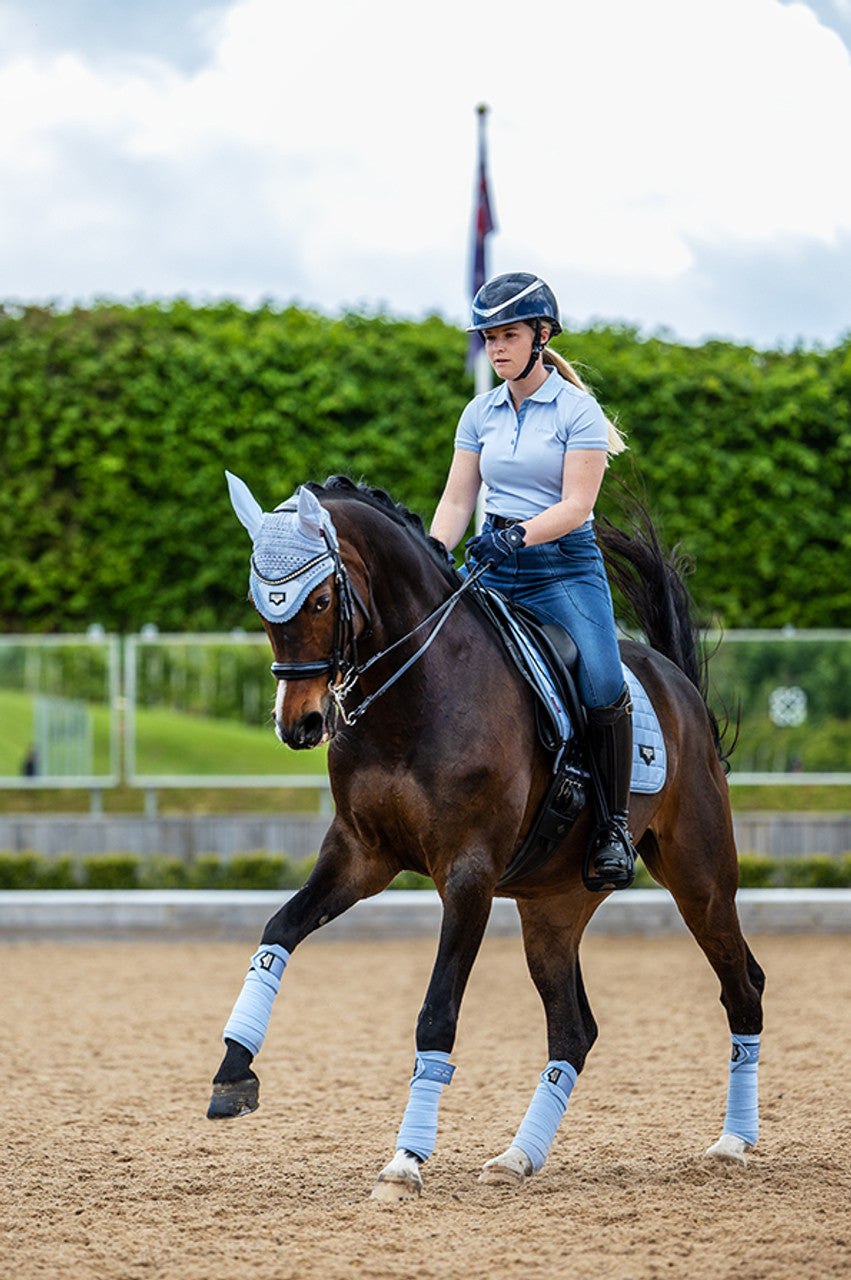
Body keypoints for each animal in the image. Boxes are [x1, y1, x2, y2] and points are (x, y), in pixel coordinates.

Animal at [208, 471, 767, 1198]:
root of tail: (674, 683)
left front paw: (404, 1161)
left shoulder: (467, 874)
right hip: (551, 908)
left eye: (322, 599)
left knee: (742, 987)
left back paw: (733, 1142)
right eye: (261, 604)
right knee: (573, 1029)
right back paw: (518, 1157)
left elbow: (437, 1010)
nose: (298, 725)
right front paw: (232, 1072)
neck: (414, 692)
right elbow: (277, 934)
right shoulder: (360, 854)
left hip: (699, 879)